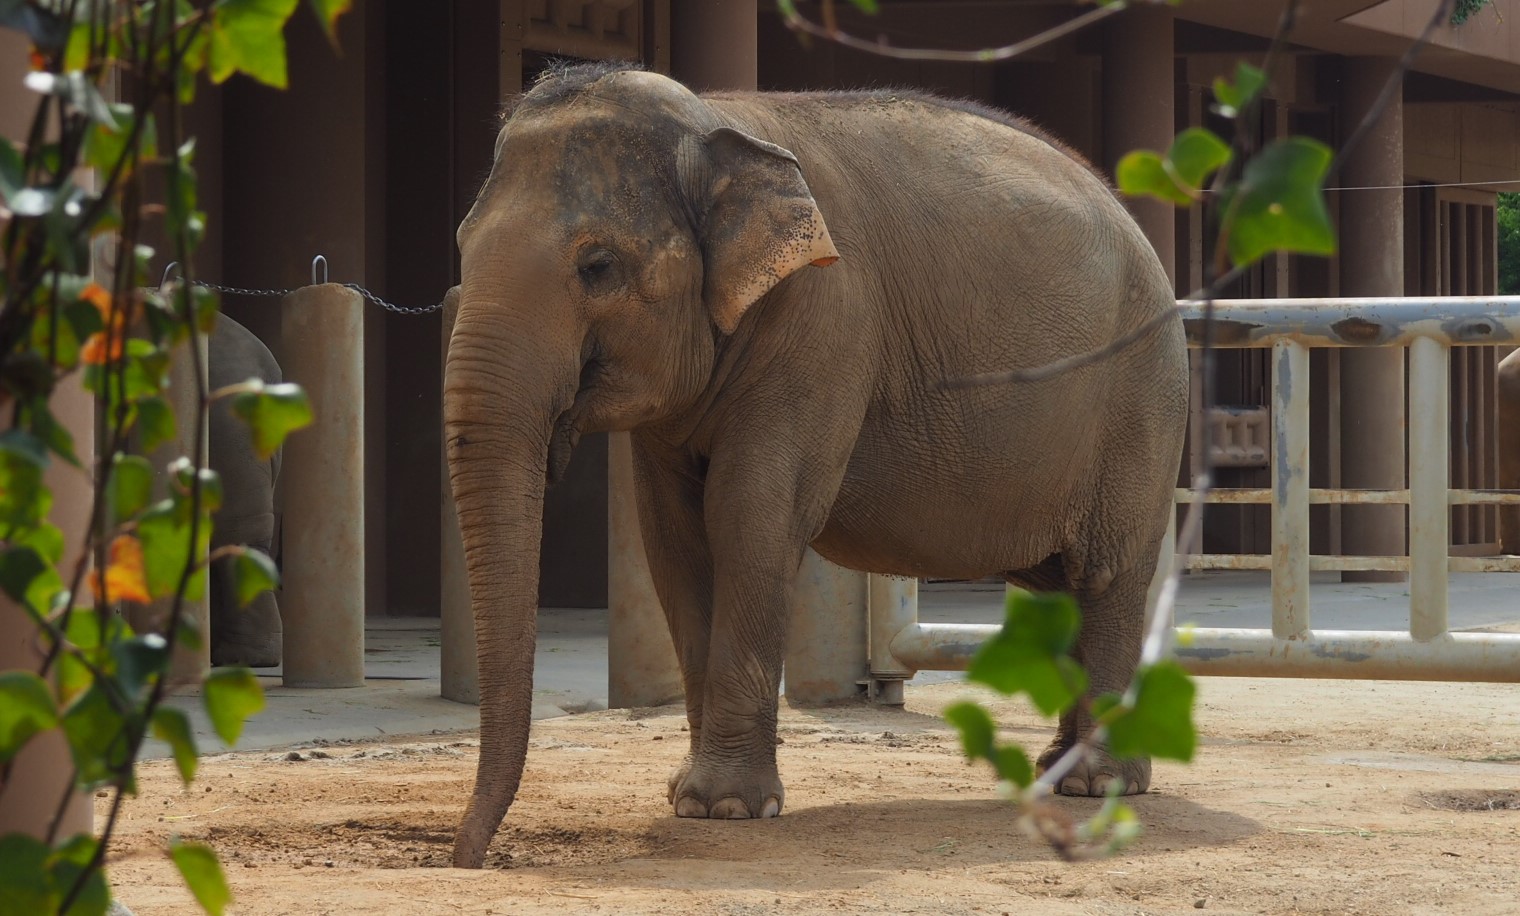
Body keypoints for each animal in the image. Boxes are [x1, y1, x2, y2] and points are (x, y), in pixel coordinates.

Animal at [443, 62, 1191, 868]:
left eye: (598, 266)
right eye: (461, 244)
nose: (466, 859)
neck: (716, 123)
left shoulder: (822, 322)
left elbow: (750, 518)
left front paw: (727, 807)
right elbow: (674, 541)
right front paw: (689, 799)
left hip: (1141, 401)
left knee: (1107, 575)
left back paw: (1097, 784)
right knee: (1064, 586)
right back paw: (1057, 772)